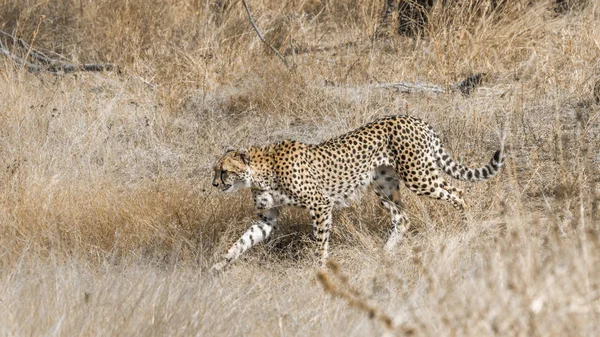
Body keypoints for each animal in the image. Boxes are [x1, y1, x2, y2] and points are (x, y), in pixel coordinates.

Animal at [213, 114, 504, 270]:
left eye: (224, 171)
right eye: (214, 170)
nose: (214, 185)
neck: (260, 172)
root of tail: (415, 119)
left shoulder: (320, 204)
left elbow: (320, 243)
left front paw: (319, 269)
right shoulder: (268, 218)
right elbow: (243, 241)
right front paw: (220, 263)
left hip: (419, 177)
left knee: (459, 193)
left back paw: (468, 229)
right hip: (383, 184)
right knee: (402, 218)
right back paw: (384, 254)